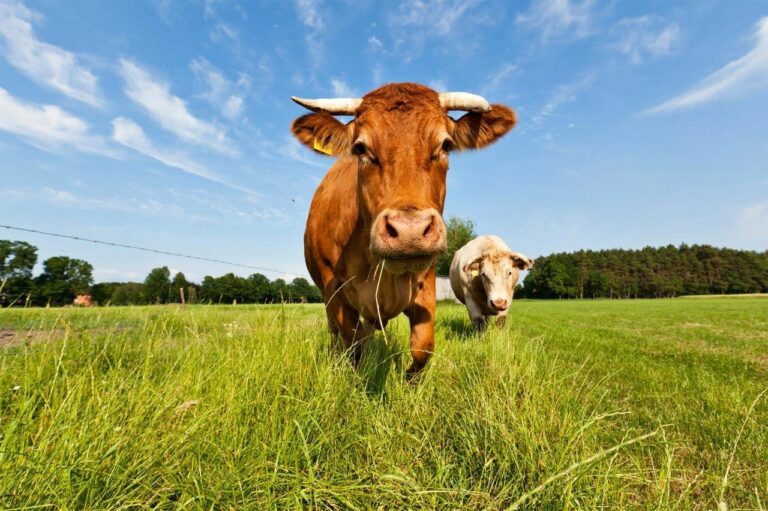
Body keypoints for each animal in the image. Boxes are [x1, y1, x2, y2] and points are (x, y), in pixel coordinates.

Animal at [291, 83, 517, 374]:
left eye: (446, 144)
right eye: (360, 148)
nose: (410, 232)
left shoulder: (426, 286)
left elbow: (422, 348)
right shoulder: (336, 292)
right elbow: (353, 346)